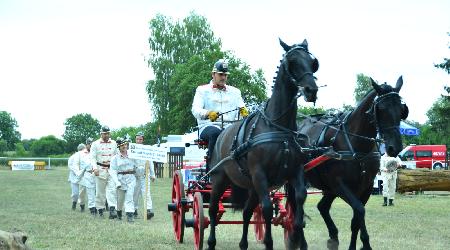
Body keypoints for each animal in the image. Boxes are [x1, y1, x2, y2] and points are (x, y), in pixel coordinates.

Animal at [207, 39, 320, 250]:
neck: (278, 127)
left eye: (313, 62)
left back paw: (243, 244)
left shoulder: (295, 171)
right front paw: (268, 242)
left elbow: (300, 197)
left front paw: (298, 235)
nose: (311, 90)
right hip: (220, 180)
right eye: (292, 62)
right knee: (211, 210)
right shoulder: (260, 174)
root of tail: (221, 132)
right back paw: (210, 242)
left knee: (246, 212)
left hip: (251, 185)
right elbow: (267, 208)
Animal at [298, 76, 410, 250]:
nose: (395, 147)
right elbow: (359, 211)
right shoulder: (340, 185)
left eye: (401, 110)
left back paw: (333, 236)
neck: (355, 144)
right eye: (381, 109)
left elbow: (357, 218)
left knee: (322, 207)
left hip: (329, 189)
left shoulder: (366, 186)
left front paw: (361, 244)